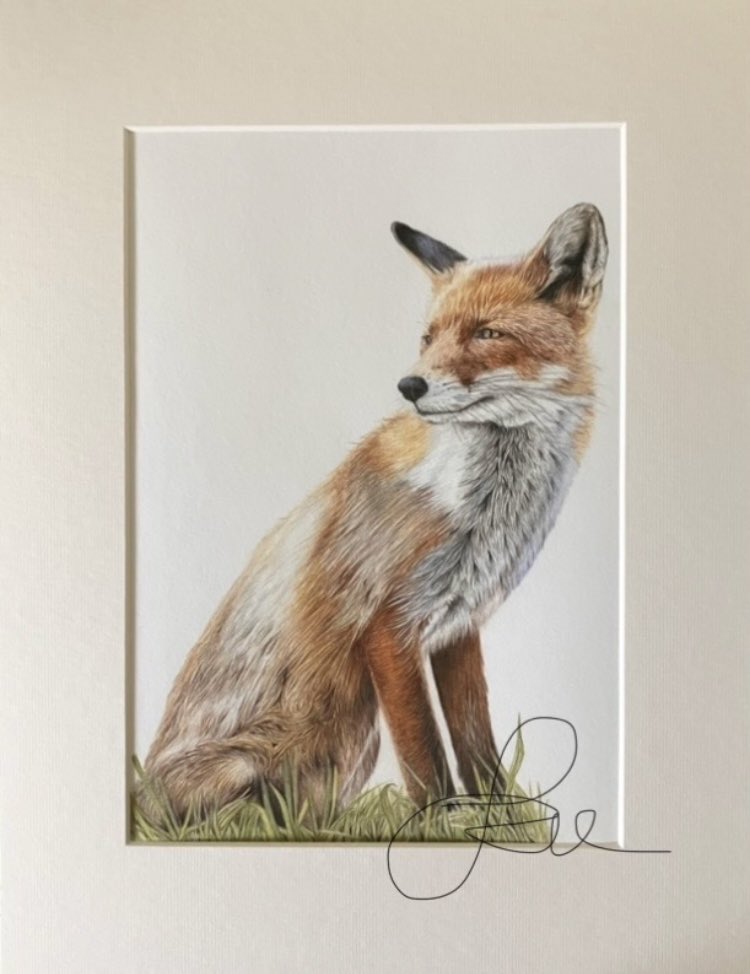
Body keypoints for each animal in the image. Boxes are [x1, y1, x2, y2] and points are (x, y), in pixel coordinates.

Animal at [142, 202, 608, 820]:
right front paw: (440, 819)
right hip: (270, 758)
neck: (482, 509)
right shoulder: (387, 625)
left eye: (487, 333)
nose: (410, 385)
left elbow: (476, 739)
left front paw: (501, 817)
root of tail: (139, 790)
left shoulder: (458, 627)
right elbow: (424, 747)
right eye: (428, 337)